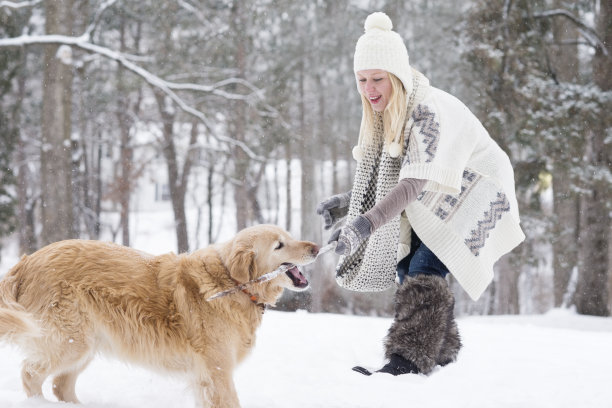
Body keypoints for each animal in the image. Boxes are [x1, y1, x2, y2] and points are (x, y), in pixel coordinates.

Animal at [0, 225, 318, 406]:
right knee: (30, 374)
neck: (231, 282)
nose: (316, 247)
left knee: (61, 385)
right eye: (279, 245)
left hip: (86, 345)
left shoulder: (204, 379)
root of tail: (25, 262)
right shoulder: (217, 371)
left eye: (289, 237)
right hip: (69, 342)